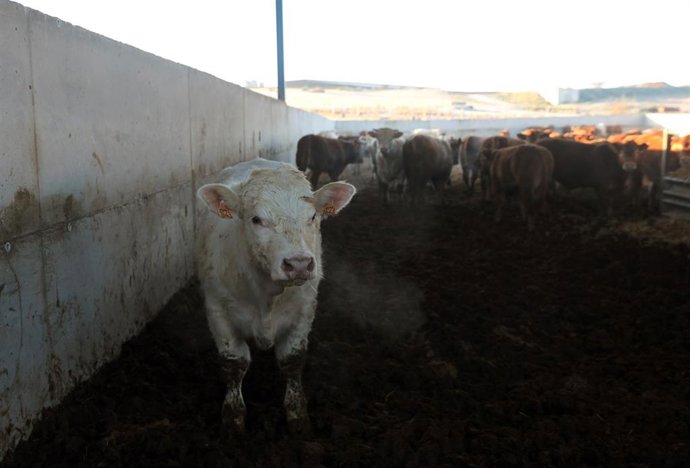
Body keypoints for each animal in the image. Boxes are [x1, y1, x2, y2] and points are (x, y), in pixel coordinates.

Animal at [195, 158, 356, 437]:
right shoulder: (217, 309)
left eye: (312, 216)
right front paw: (233, 418)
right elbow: (234, 363)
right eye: (256, 219)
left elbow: (291, 360)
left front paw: (297, 415)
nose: (299, 263)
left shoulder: (305, 309)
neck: (266, 294)